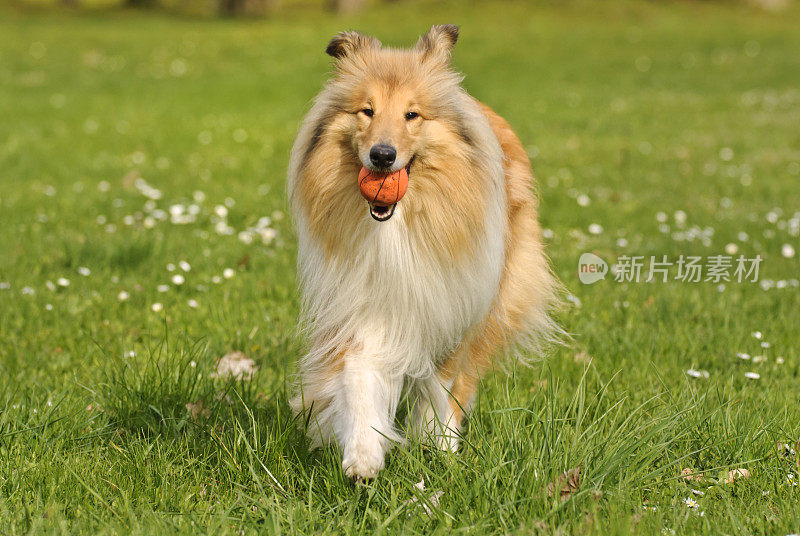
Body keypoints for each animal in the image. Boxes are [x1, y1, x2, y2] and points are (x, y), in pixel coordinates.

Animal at [290, 25, 564, 480]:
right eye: (366, 110)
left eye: (412, 115)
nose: (382, 156)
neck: (397, 227)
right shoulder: (358, 301)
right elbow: (359, 374)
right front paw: (363, 454)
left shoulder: (455, 299)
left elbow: (444, 378)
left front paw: (436, 441)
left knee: (466, 373)